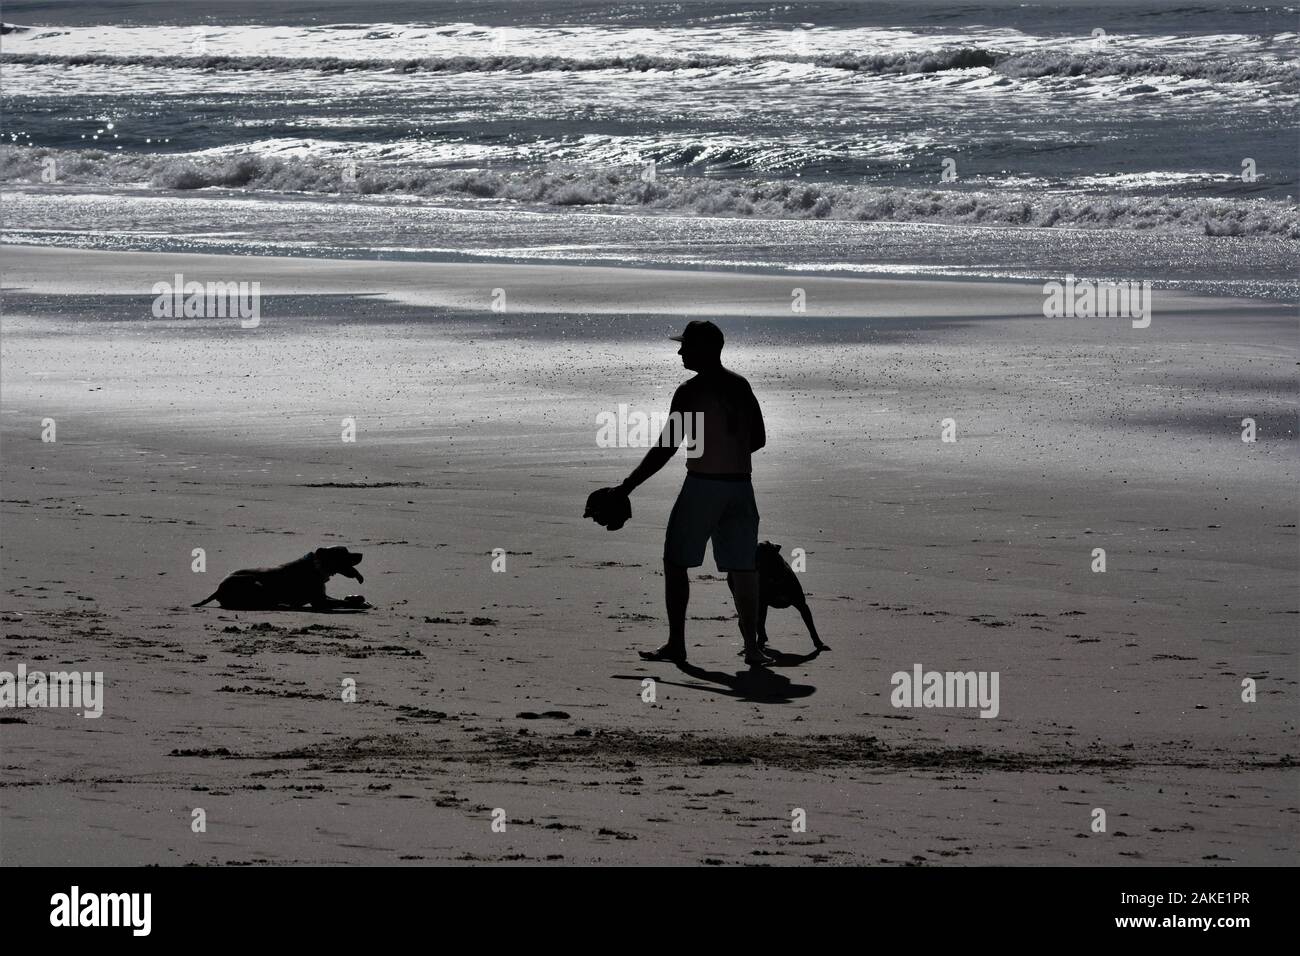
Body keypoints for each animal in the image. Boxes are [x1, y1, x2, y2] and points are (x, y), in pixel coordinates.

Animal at [192, 546, 369, 613]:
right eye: (344, 552)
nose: (361, 554)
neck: (317, 566)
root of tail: (217, 590)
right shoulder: (319, 601)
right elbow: (341, 602)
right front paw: (358, 605)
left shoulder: (322, 596)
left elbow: (341, 599)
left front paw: (359, 600)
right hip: (256, 583)